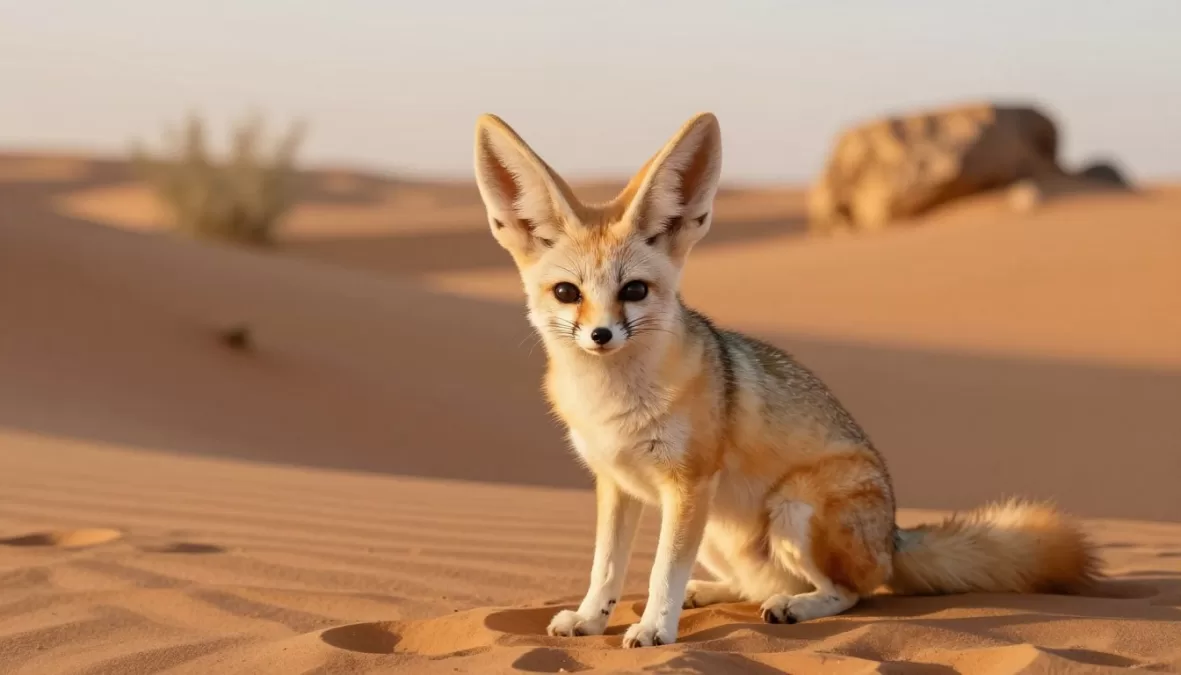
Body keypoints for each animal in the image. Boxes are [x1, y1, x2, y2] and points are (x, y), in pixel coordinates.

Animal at [471, 111, 1101, 648]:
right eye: (567, 293)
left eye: (634, 291)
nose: (601, 336)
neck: (613, 403)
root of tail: (895, 535)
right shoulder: (617, 484)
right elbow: (606, 567)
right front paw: (590, 618)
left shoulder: (687, 483)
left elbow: (659, 572)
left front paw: (654, 628)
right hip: (721, 531)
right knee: (758, 582)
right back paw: (718, 592)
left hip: (791, 509)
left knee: (852, 591)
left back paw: (797, 606)